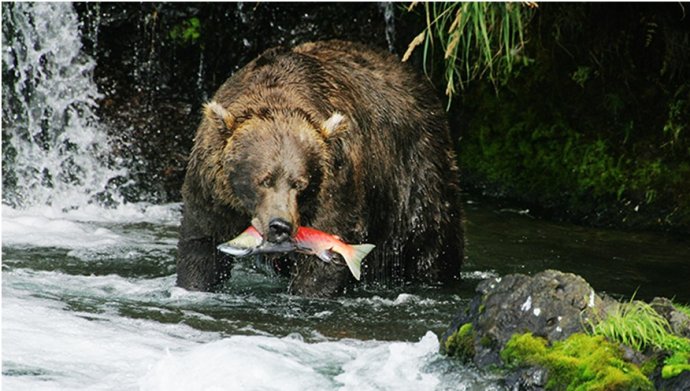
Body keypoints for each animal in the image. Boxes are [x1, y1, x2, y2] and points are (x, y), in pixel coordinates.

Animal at [176, 39, 462, 298]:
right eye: (264, 179)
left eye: (300, 183)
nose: (280, 226)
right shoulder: (210, 191)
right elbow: (201, 246)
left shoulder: (336, 182)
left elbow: (326, 254)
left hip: (417, 177)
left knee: (431, 243)